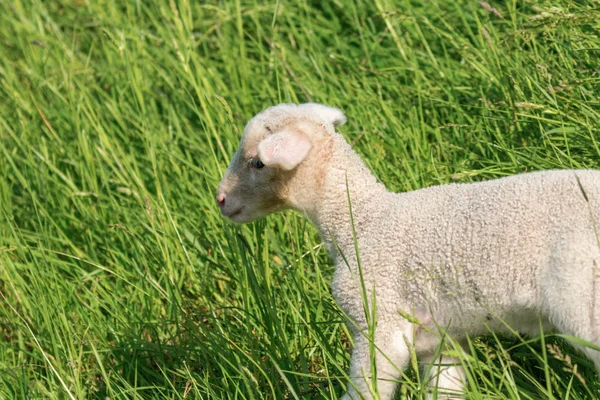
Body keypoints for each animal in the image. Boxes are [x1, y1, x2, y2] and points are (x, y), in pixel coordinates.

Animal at [216, 104, 600, 400]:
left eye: (257, 163)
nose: (219, 200)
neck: (362, 220)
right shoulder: (443, 339)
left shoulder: (379, 321)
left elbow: (367, 391)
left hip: (581, 292)